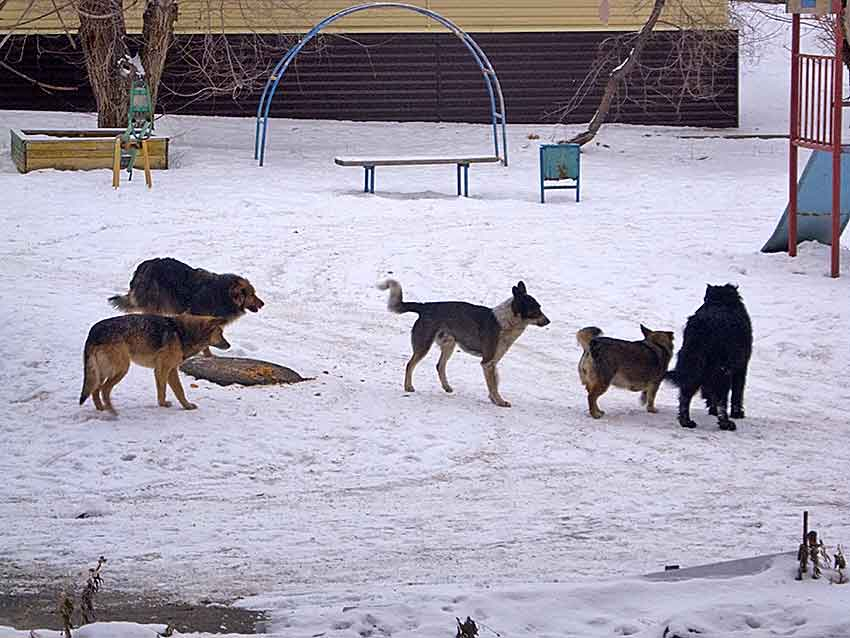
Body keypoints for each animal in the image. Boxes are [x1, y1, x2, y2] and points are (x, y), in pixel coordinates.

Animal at [79, 314, 229, 416]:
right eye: (220, 333)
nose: (229, 345)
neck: (182, 333)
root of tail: (93, 332)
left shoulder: (166, 370)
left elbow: (167, 390)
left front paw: (167, 405)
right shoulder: (165, 369)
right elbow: (177, 390)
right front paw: (186, 406)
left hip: (102, 373)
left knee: (95, 390)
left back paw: (101, 410)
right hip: (121, 369)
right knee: (104, 390)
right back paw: (112, 412)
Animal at [374, 282, 548, 410]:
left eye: (540, 307)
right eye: (535, 309)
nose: (548, 321)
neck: (506, 321)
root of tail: (424, 306)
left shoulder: (493, 362)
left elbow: (495, 383)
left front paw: (494, 400)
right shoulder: (487, 362)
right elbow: (493, 386)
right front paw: (499, 402)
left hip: (449, 344)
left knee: (439, 366)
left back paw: (447, 387)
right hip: (424, 345)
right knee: (410, 364)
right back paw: (408, 387)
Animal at [664, 286, 752, 432]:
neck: (720, 301)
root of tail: (702, 326)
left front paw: (712, 409)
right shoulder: (741, 367)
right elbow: (737, 392)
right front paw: (737, 413)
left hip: (692, 362)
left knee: (685, 395)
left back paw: (686, 422)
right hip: (721, 369)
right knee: (722, 398)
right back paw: (726, 424)